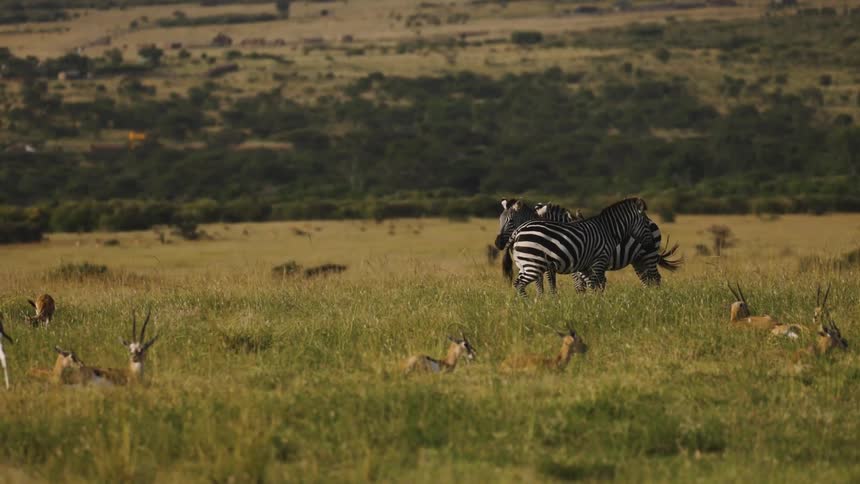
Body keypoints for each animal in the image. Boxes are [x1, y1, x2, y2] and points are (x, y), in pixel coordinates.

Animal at [496, 198, 655, 297]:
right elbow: (590, 285)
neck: (608, 229)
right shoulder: (595, 261)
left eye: (510, 221)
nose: (498, 243)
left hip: (645, 258)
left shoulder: (584, 265)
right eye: (500, 220)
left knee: (652, 279)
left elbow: (588, 285)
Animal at [534, 202, 681, 293]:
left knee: (655, 278)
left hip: (649, 255)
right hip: (638, 259)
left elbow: (581, 286)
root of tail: (651, 221)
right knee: (646, 279)